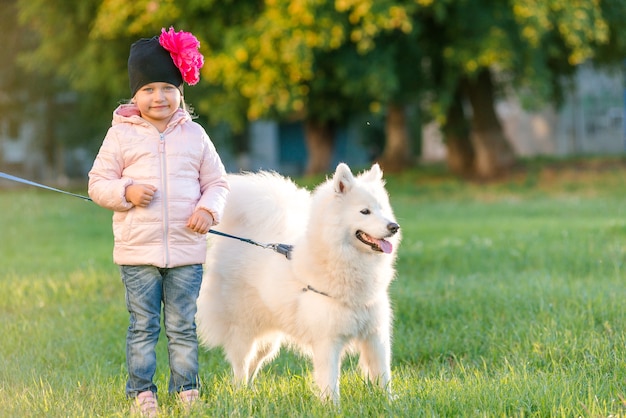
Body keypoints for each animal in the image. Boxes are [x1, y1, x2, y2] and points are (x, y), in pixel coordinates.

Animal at [195, 162, 400, 402]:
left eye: (382, 210)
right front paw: (332, 406)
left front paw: (389, 403)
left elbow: (383, 376)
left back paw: (249, 393)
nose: (394, 226)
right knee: (241, 365)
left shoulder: (375, 336)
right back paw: (239, 395)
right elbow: (330, 381)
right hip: (243, 329)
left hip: (269, 339)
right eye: (365, 211)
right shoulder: (328, 340)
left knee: (254, 363)